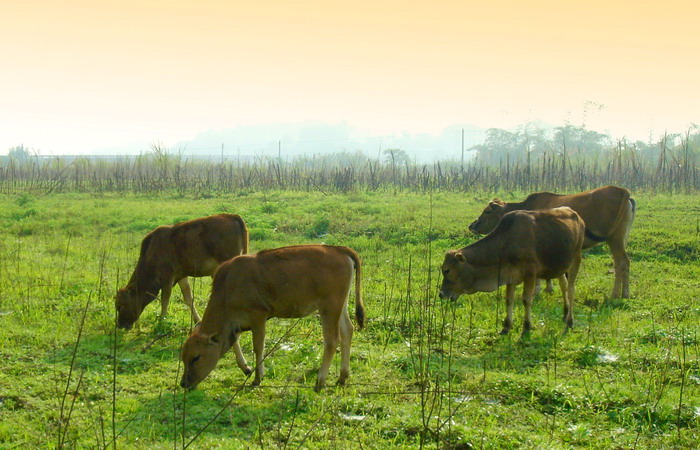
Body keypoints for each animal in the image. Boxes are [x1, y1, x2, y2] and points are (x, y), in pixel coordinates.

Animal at [119, 213, 250, 328]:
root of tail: (231, 216)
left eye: (121, 305)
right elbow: (188, 298)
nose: (121, 325)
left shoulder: (167, 275)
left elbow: (165, 299)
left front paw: (161, 321)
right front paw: (198, 320)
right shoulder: (181, 276)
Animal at [180, 244, 364, 392]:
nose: (184, 383)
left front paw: (257, 378)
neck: (229, 284)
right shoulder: (237, 325)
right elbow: (235, 343)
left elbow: (258, 346)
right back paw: (342, 377)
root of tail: (338, 249)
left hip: (329, 308)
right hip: (340, 306)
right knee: (348, 331)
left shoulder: (258, 316)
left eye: (196, 357)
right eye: (183, 357)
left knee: (332, 340)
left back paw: (320, 382)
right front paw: (247, 369)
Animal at [442, 206, 584, 336]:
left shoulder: (530, 274)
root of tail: (575, 214)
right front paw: (506, 326)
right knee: (564, 286)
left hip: (576, 259)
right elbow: (509, 300)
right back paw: (565, 313)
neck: (506, 244)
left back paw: (570, 321)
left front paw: (527, 326)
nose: (441, 294)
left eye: (446, 270)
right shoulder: (510, 276)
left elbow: (526, 299)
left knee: (571, 290)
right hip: (560, 266)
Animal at [470, 185, 636, 298]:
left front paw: (537, 290)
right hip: (620, 239)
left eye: (487, 211)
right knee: (623, 263)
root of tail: (622, 191)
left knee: (621, 263)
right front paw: (549, 288)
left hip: (615, 240)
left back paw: (617, 294)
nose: (472, 225)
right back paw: (623, 293)